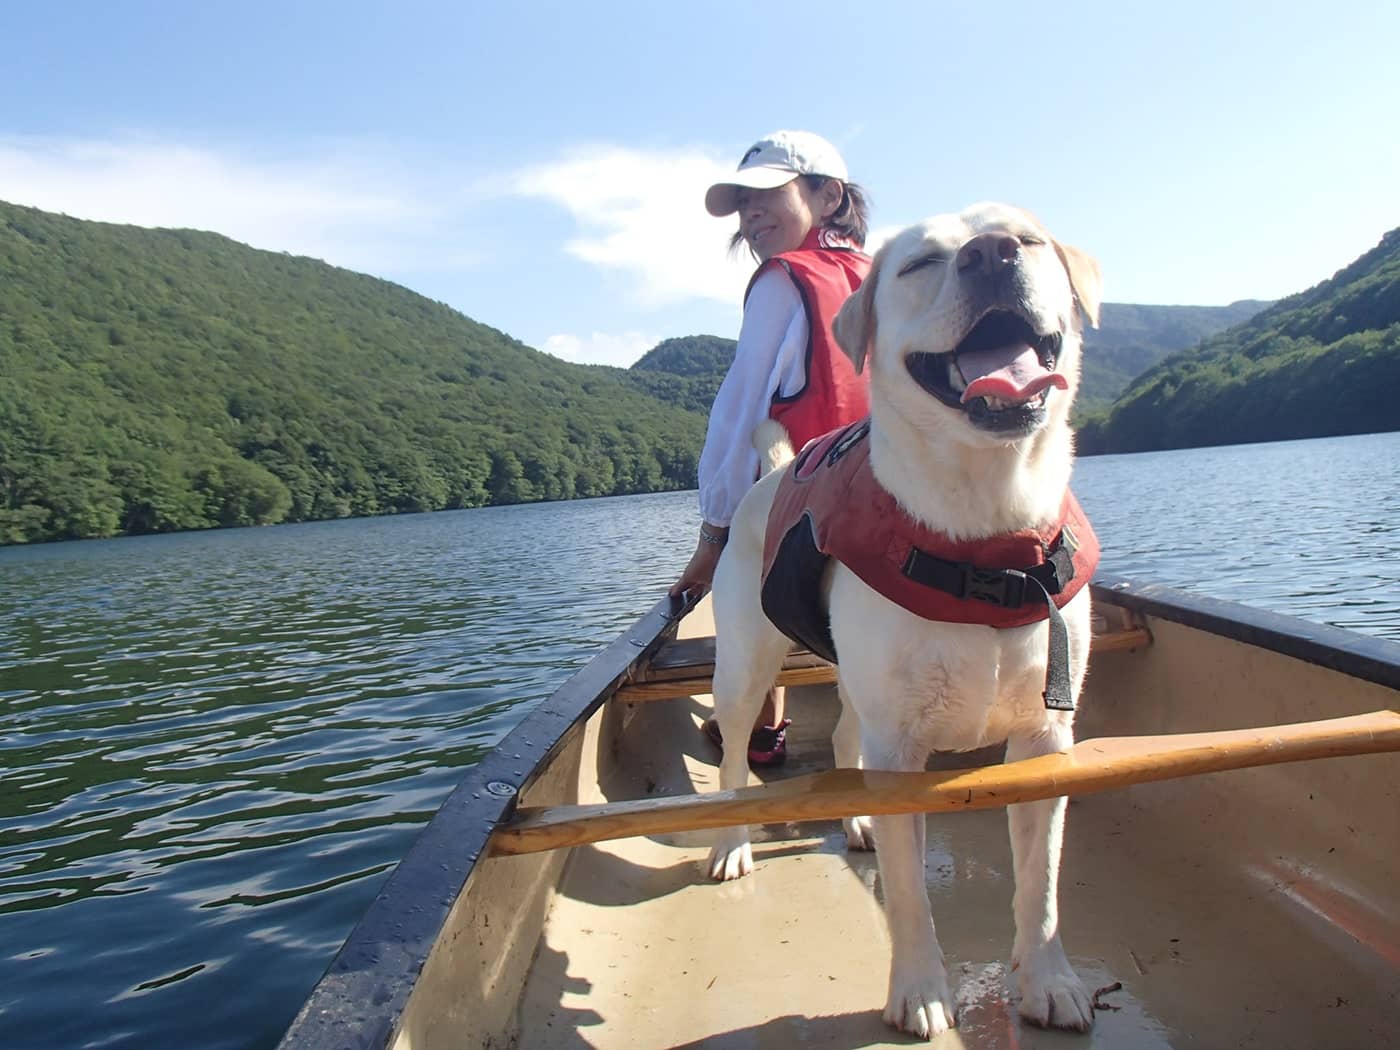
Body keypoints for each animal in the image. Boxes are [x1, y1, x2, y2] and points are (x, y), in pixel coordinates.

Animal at [711, 201, 1103, 1041]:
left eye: (1027, 240)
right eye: (923, 263)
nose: (992, 254)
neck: (991, 538)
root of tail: (775, 472)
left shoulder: (1045, 739)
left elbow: (1042, 882)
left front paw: (1050, 981)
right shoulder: (901, 750)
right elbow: (910, 894)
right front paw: (919, 991)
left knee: (846, 735)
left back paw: (856, 820)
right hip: (744, 665)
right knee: (731, 758)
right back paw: (730, 843)